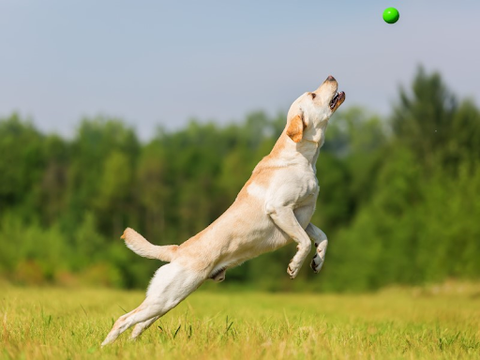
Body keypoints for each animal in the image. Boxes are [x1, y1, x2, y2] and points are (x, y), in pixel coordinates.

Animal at [103, 76, 346, 346]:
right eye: (313, 95)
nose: (331, 77)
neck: (303, 157)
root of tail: (177, 250)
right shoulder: (280, 209)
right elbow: (303, 241)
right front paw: (294, 266)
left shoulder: (302, 215)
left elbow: (322, 237)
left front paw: (317, 262)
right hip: (165, 298)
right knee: (123, 320)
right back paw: (104, 348)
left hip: (166, 301)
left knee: (138, 324)